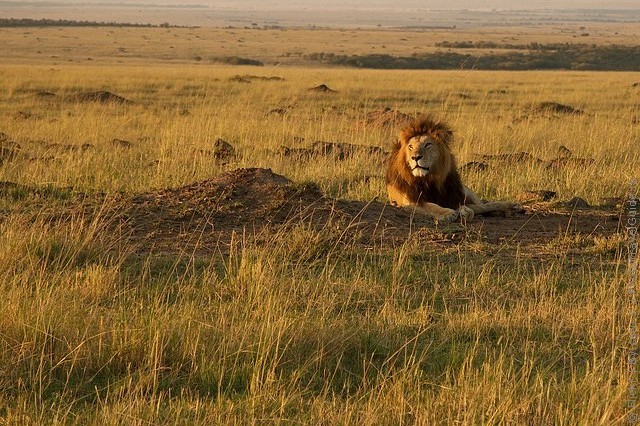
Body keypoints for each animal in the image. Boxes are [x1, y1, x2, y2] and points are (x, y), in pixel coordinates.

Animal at [384, 115, 520, 225]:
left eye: (428, 144)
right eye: (410, 146)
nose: (415, 157)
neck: (429, 179)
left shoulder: (452, 197)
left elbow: (469, 207)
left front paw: (463, 212)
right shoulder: (408, 202)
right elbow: (431, 206)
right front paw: (447, 213)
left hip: (465, 192)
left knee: (483, 205)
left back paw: (510, 208)